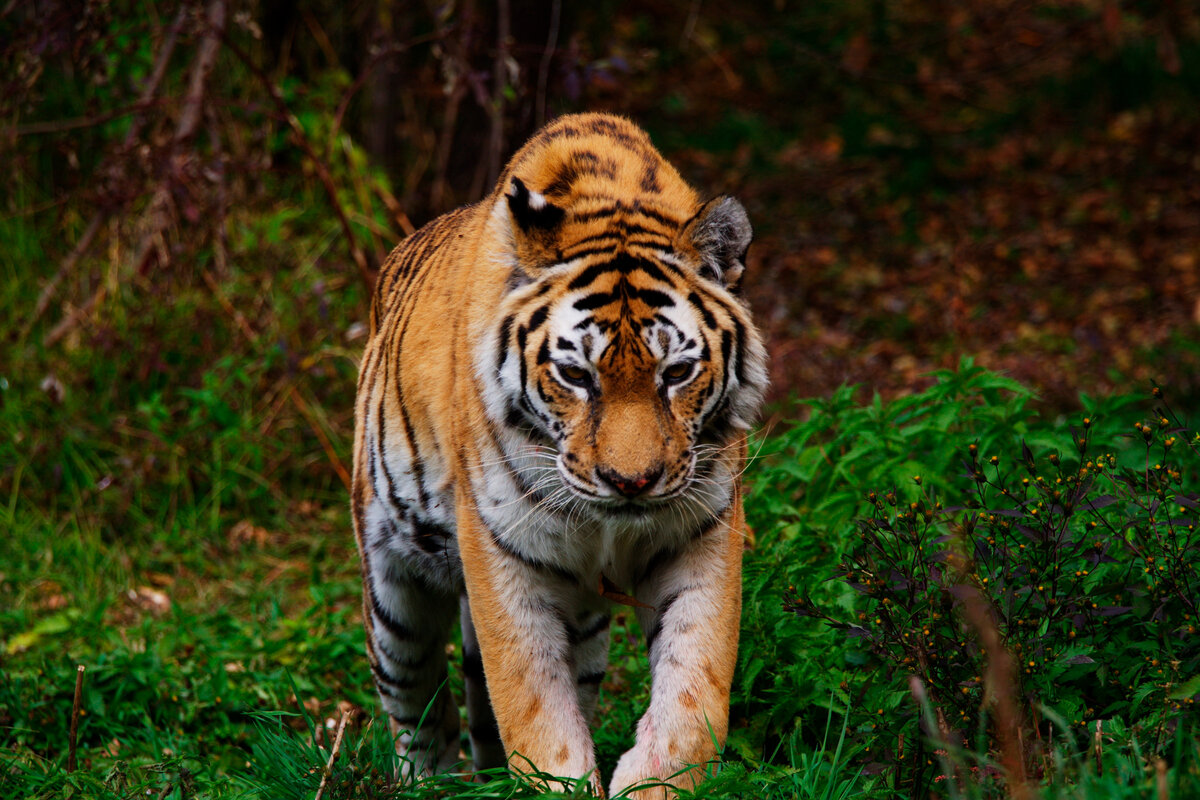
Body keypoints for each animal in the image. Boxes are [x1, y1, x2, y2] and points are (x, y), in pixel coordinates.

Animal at [350, 110, 768, 796]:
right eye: (575, 375)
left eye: (676, 373)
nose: (631, 482)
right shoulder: (501, 553)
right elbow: (532, 702)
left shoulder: (700, 534)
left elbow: (696, 689)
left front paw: (654, 780)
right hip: (394, 596)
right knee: (418, 711)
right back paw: (430, 781)